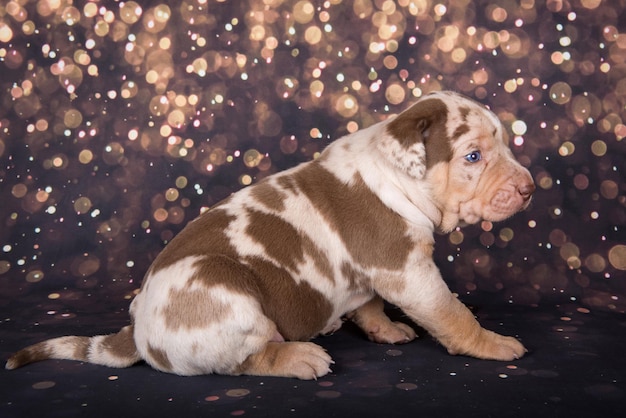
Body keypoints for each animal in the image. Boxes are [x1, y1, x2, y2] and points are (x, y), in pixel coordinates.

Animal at [4, 90, 532, 378]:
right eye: (473, 156)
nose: (528, 188)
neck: (398, 175)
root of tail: (137, 334)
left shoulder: (375, 273)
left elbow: (369, 304)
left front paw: (386, 330)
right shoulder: (409, 271)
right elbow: (453, 314)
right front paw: (493, 343)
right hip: (226, 290)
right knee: (242, 360)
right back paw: (300, 357)